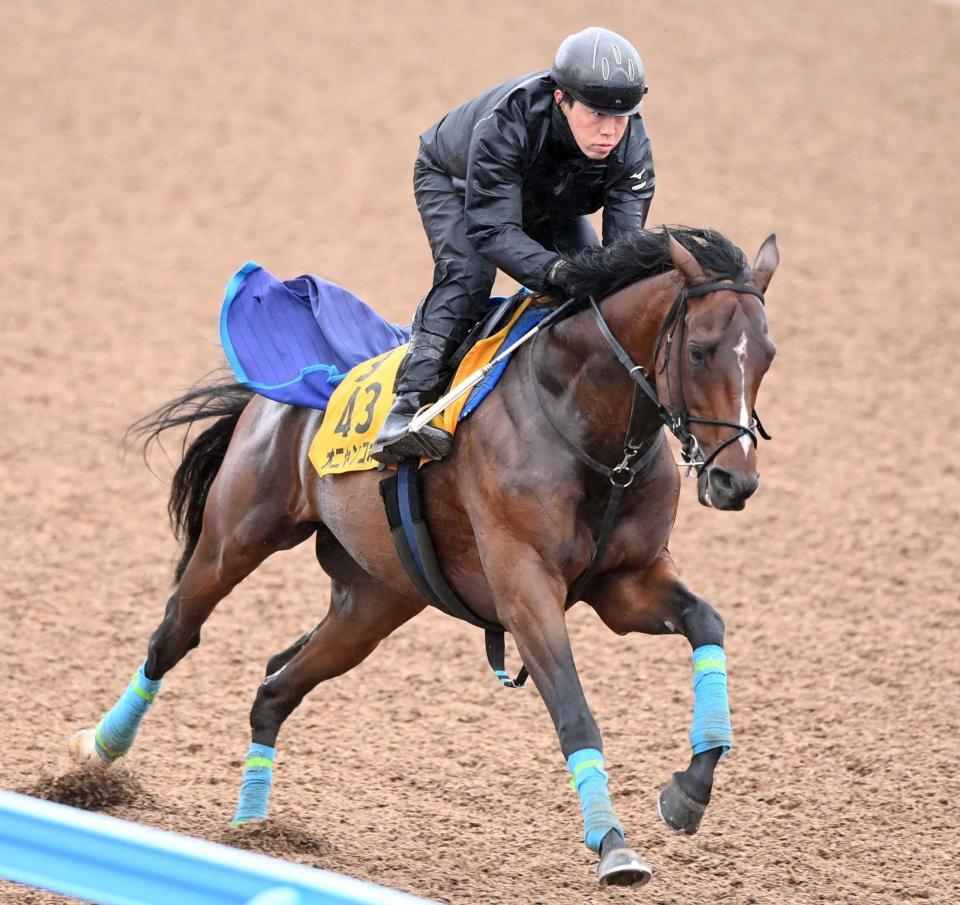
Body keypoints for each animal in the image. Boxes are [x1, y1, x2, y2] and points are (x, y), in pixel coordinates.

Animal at [73, 222, 780, 888]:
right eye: (699, 350)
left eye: (768, 356)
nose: (735, 482)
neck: (582, 423)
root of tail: (274, 395)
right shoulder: (525, 589)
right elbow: (575, 713)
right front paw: (613, 847)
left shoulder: (625, 582)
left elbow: (706, 622)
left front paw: (689, 791)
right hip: (235, 541)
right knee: (174, 635)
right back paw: (95, 758)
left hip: (373, 602)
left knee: (276, 684)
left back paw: (253, 827)